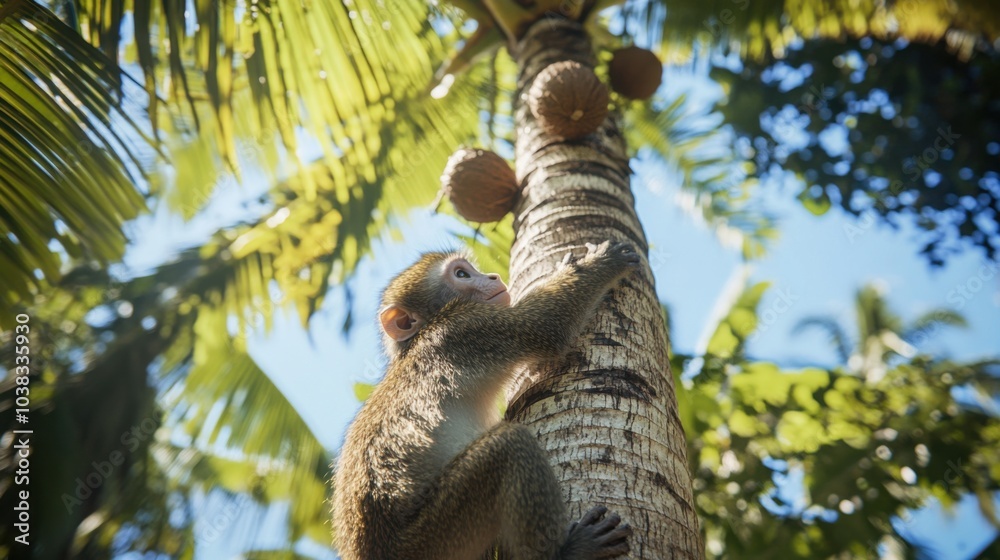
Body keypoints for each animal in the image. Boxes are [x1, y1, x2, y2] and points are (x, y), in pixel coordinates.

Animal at [333, 241, 639, 560]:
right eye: (461, 274)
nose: (492, 276)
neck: (421, 334)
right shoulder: (465, 326)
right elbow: (547, 327)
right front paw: (600, 264)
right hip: (428, 541)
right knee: (510, 444)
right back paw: (567, 553)